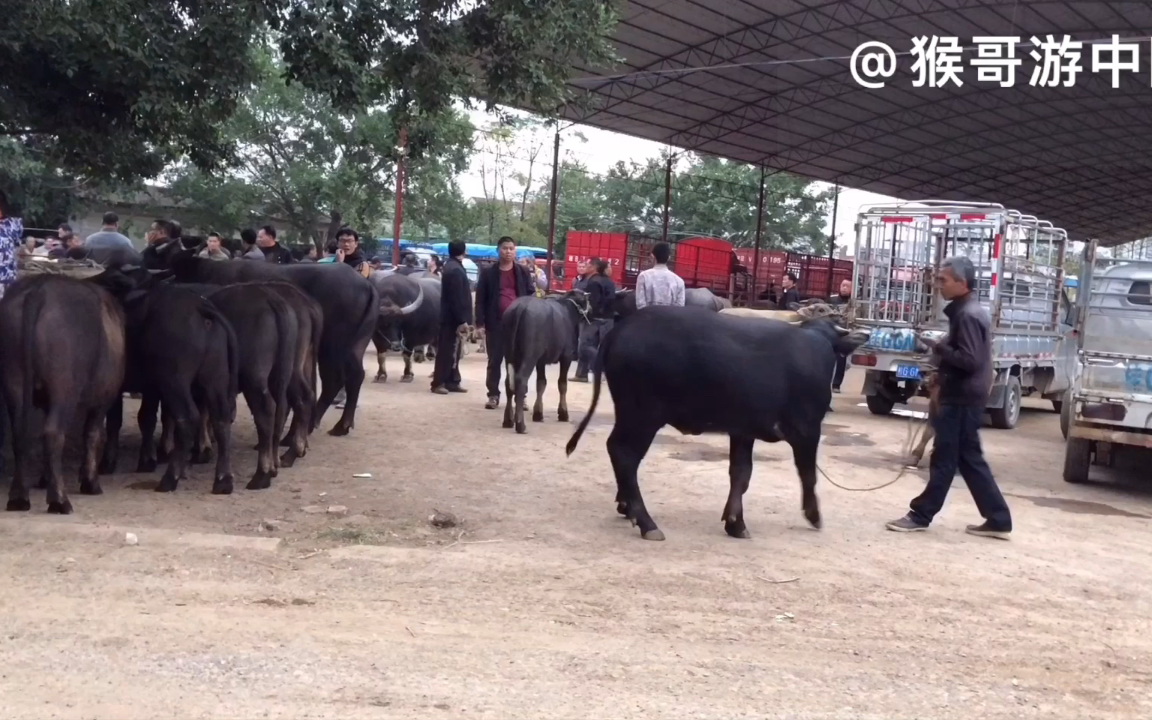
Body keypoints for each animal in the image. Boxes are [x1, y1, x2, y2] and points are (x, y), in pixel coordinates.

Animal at [0, 271, 126, 513]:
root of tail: (38, 290)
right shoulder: (103, 399)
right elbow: (92, 435)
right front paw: (90, 482)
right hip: (64, 389)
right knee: (53, 433)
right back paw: (59, 500)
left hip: (14, 382)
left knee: (22, 434)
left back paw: (19, 497)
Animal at [497, 288, 589, 433]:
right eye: (585, 300)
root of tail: (520, 307)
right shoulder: (566, 357)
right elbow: (562, 384)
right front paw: (563, 413)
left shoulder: (541, 360)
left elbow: (541, 383)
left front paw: (538, 413)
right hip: (529, 356)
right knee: (520, 381)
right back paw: (520, 424)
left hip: (509, 355)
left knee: (508, 383)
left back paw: (508, 420)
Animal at [562, 304, 866, 539]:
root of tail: (622, 329)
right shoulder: (807, 430)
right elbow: (808, 475)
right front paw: (814, 515)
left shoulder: (743, 431)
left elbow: (741, 474)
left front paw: (735, 523)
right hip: (642, 416)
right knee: (624, 454)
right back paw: (646, 522)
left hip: (629, 414)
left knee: (618, 452)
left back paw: (627, 506)